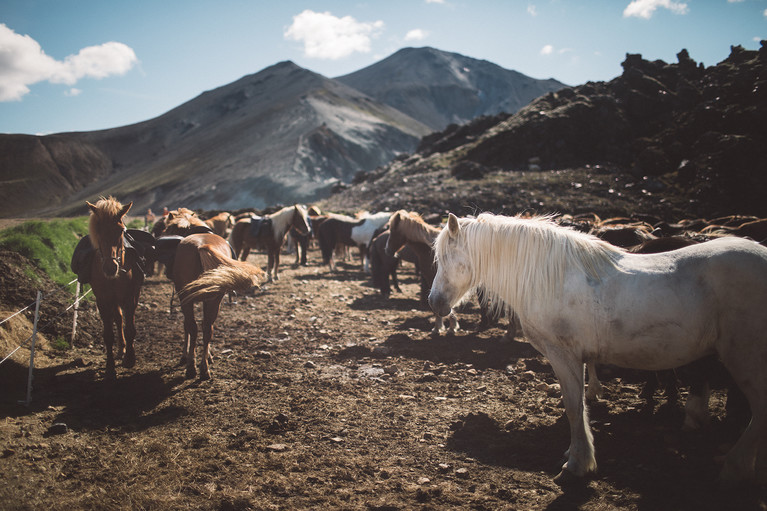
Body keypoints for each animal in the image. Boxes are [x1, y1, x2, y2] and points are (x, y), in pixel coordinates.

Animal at [84, 196, 146, 380]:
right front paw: (110, 368)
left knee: (121, 320)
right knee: (117, 319)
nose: (110, 268)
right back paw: (120, 349)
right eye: (98, 230)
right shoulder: (103, 300)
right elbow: (108, 335)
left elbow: (130, 329)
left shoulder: (130, 297)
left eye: (120, 230)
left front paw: (130, 359)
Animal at [172, 232, 266, 380]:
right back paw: (201, 368)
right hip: (208, 300)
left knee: (197, 327)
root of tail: (202, 245)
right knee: (203, 328)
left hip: (198, 299)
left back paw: (195, 367)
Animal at [428, 213, 767, 488]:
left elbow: (573, 406)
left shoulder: (563, 355)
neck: (553, 278)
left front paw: (577, 464)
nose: (434, 302)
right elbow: (579, 405)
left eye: (446, 256)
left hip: (746, 360)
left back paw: (734, 468)